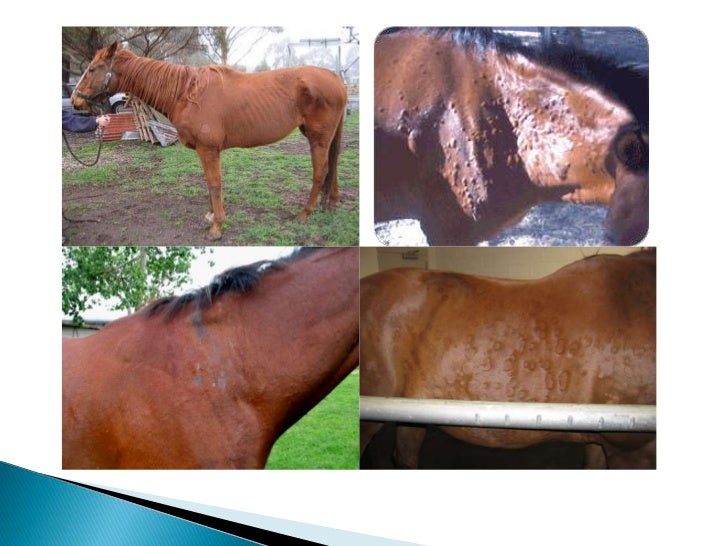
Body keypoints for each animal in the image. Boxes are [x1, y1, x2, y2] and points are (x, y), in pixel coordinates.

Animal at [72, 41, 348, 240]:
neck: (186, 93)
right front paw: (210, 216)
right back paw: (330, 204)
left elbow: (215, 185)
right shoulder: (204, 151)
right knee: (333, 168)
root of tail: (336, 78)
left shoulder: (208, 150)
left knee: (321, 172)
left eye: (92, 69)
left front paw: (217, 227)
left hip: (318, 138)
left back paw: (304, 214)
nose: (75, 100)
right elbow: (208, 184)